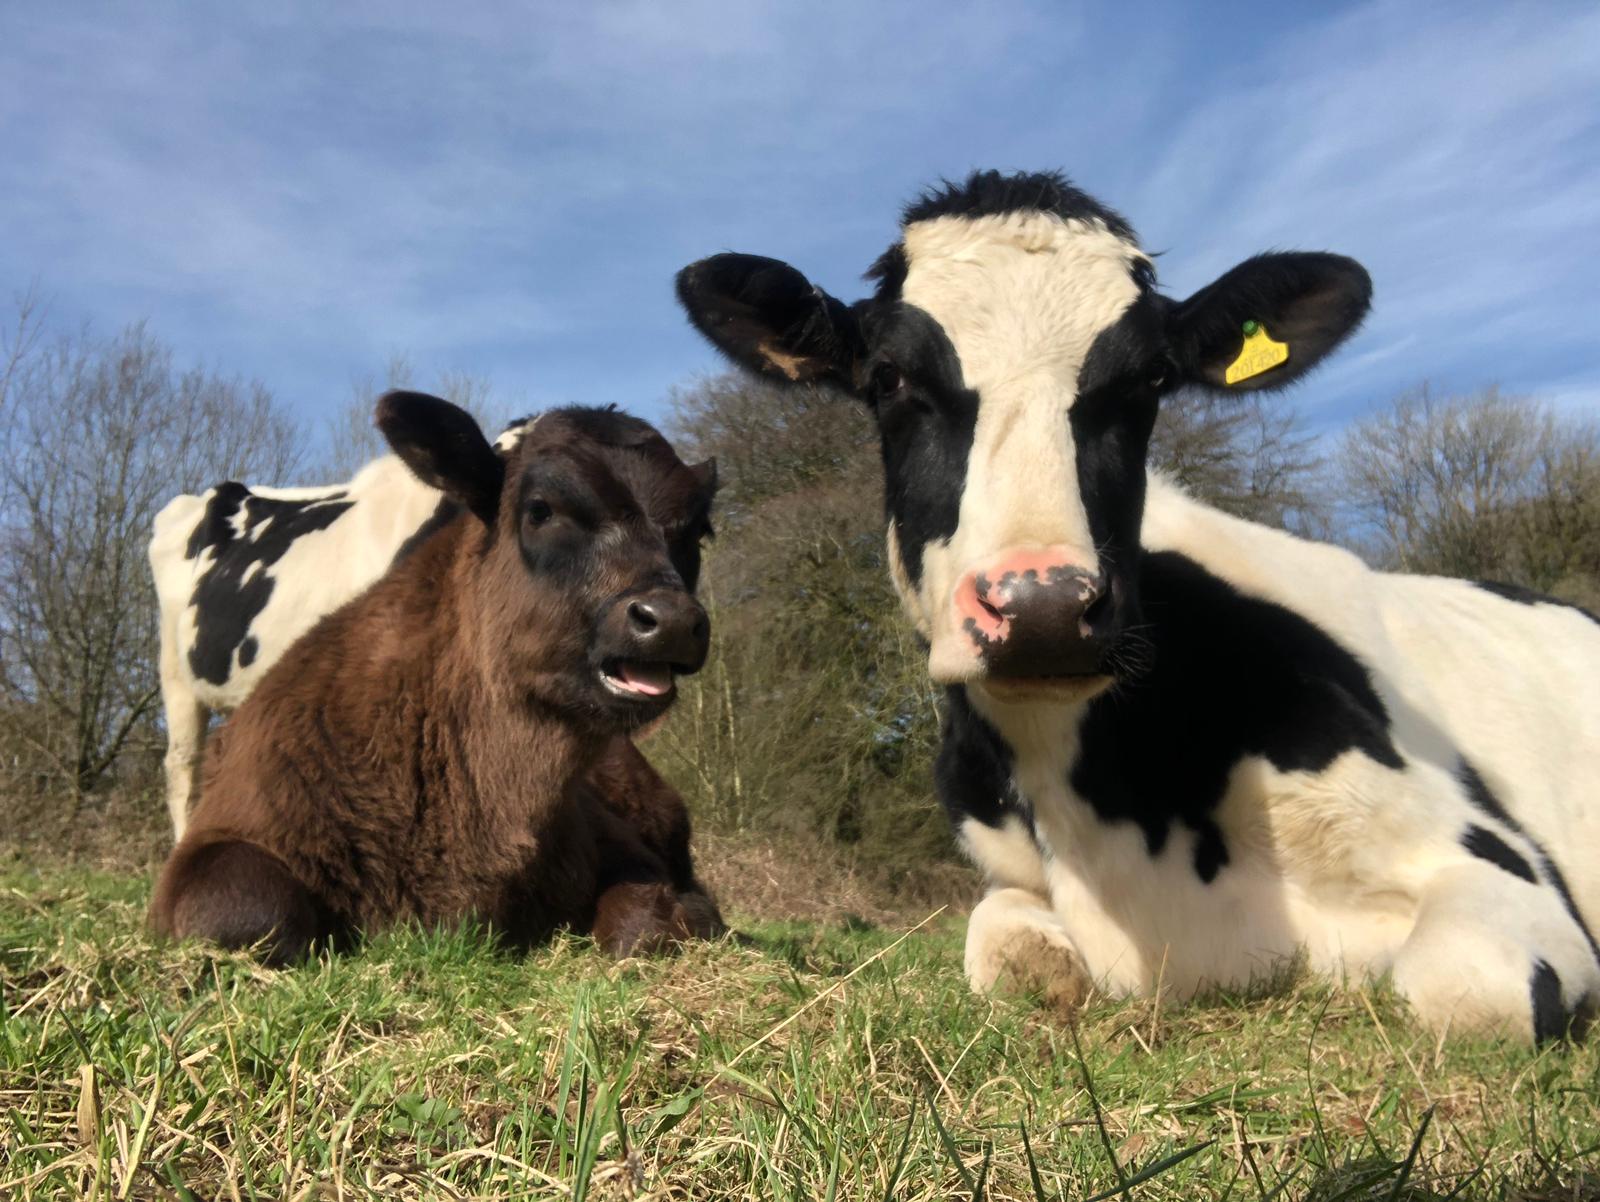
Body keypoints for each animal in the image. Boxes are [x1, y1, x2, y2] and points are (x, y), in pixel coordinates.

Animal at [150, 395, 726, 966]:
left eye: (697, 532)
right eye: (540, 509)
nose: (672, 621)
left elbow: (650, 923)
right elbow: (247, 911)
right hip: (177, 680)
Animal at [678, 169, 1600, 1043]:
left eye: (1151, 377)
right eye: (888, 377)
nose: (1043, 608)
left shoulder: (1492, 858)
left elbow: (1464, 982)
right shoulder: (1009, 876)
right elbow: (1000, 945)